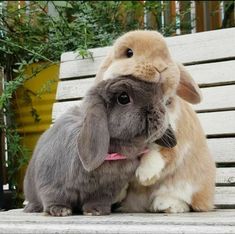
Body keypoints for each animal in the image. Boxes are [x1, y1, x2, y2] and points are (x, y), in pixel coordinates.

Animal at [23, 76, 176, 216]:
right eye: (123, 98)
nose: (162, 111)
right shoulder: (51, 184)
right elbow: (53, 198)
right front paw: (60, 210)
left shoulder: (106, 190)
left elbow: (98, 200)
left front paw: (96, 211)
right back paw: (31, 208)